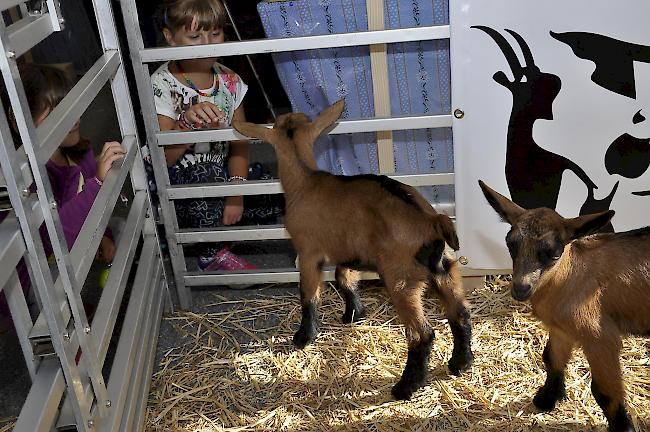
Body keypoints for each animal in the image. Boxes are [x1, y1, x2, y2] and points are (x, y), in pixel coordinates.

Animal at [233, 100, 470, 398]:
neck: (306, 179)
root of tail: (431, 221)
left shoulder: (308, 252)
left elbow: (309, 294)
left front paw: (303, 337)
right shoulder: (347, 250)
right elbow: (344, 278)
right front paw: (353, 314)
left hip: (402, 279)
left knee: (421, 333)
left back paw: (406, 387)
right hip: (445, 268)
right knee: (459, 313)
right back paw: (460, 363)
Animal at [478, 180, 644, 432]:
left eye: (555, 253)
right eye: (510, 243)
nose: (521, 289)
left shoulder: (601, 338)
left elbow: (605, 392)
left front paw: (623, 427)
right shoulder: (561, 329)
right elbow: (551, 359)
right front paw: (546, 399)